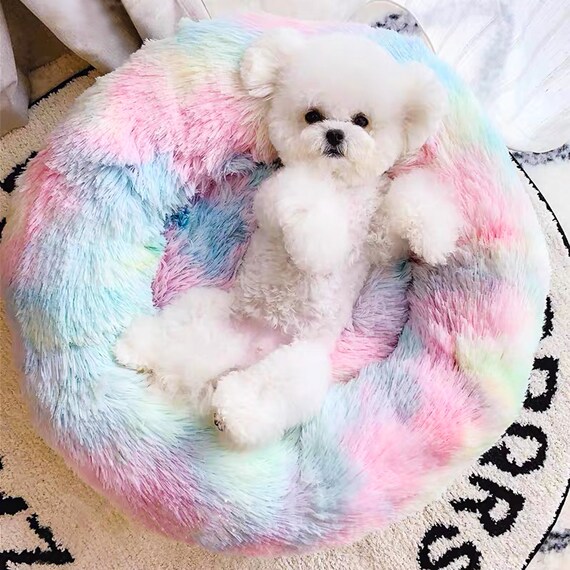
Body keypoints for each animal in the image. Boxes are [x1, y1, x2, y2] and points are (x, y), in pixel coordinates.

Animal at [115, 31, 462, 448]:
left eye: (362, 121)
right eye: (312, 115)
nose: (335, 133)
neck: (336, 184)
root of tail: (249, 350)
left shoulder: (378, 241)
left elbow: (407, 205)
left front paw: (433, 240)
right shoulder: (275, 198)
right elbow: (308, 212)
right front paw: (318, 247)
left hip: (298, 366)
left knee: (263, 391)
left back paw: (231, 411)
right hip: (210, 313)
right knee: (172, 339)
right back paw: (136, 349)